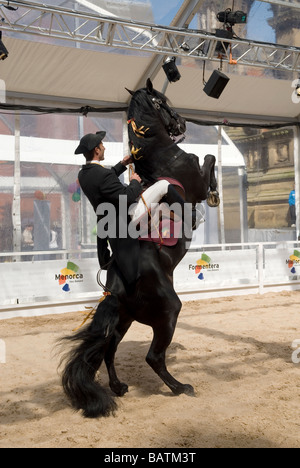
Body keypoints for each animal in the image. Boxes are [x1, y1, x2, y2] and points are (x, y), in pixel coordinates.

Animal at [59, 79, 219, 416]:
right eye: (162, 101)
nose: (181, 123)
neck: (160, 154)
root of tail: (115, 288)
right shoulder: (195, 181)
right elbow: (209, 159)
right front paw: (214, 194)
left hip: (124, 319)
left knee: (108, 350)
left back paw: (119, 387)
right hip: (169, 310)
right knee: (153, 357)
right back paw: (180, 387)